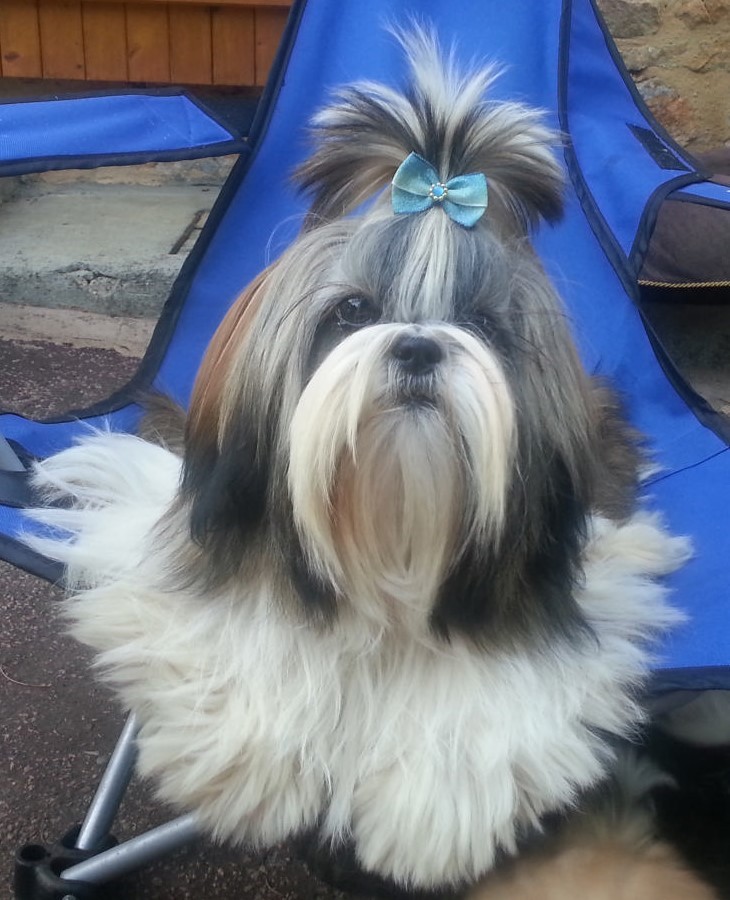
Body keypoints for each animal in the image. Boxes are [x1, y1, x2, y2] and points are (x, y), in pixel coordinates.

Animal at [27, 28, 691, 892]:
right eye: (351, 312)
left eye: (481, 324)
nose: (418, 347)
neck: (391, 519)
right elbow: (244, 635)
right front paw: (251, 770)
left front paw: (427, 819)